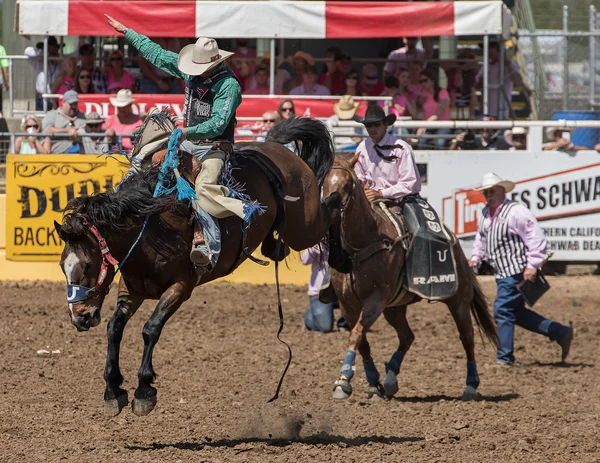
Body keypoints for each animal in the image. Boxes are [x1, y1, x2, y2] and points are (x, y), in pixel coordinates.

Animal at [322, 156, 500, 402]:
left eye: (348, 184)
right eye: (324, 180)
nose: (329, 210)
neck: (364, 243)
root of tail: (455, 245)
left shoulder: (375, 300)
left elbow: (357, 334)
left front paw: (343, 381)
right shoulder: (348, 304)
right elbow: (362, 341)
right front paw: (373, 384)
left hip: (459, 301)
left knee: (467, 337)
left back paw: (471, 386)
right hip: (395, 308)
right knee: (407, 336)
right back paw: (390, 379)